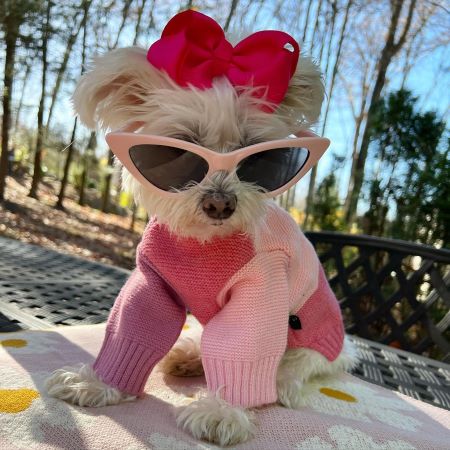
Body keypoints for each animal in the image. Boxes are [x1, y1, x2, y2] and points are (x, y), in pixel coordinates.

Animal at [44, 10, 356, 446]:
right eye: (178, 149)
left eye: (255, 154)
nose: (220, 202)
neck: (202, 244)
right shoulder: (151, 281)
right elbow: (132, 329)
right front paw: (101, 383)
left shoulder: (261, 288)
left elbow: (243, 347)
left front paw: (224, 409)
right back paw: (190, 355)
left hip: (311, 333)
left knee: (299, 362)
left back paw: (280, 381)